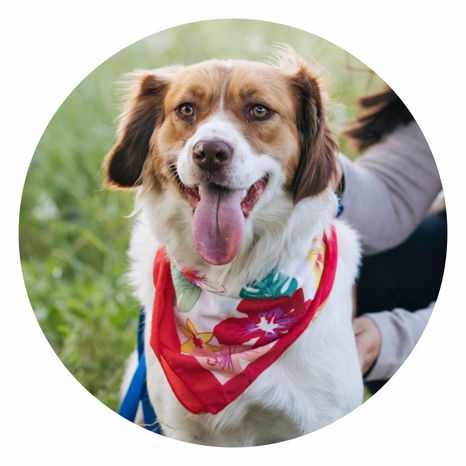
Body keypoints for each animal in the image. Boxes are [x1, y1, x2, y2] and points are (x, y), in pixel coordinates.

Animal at [105, 48, 364, 448]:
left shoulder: (319, 419)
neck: (230, 280)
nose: (210, 152)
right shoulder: (177, 425)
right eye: (186, 109)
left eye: (259, 110)